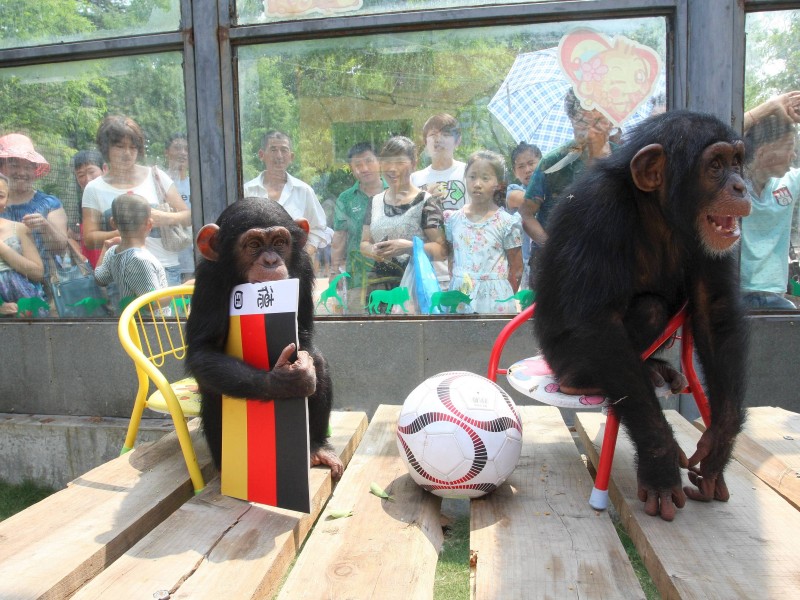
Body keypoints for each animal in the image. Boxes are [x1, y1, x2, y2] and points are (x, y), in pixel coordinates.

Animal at [187, 199, 344, 480]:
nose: (271, 260)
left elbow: (304, 335)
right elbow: (202, 350)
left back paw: (316, 447)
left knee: (319, 361)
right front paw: (287, 381)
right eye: (254, 244)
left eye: (280, 242)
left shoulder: (304, 269)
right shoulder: (209, 279)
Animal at [536, 111, 752, 520]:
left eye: (736, 162)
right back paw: (582, 383)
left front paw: (719, 446)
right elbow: (596, 322)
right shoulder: (598, 209)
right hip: (561, 362)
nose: (741, 186)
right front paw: (660, 463)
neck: (656, 210)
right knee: (648, 308)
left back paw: (655, 368)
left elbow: (713, 306)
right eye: (715, 166)